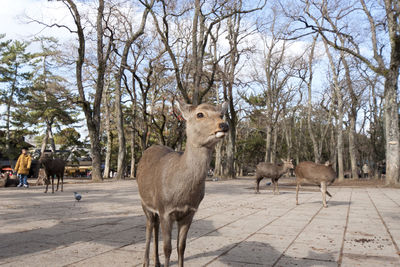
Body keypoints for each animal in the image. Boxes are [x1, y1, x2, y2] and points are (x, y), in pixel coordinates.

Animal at [136, 101, 228, 267]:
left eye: (221, 114)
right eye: (200, 114)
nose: (224, 125)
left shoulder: (189, 212)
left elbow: (181, 247)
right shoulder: (165, 209)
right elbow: (167, 248)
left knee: (155, 226)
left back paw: (156, 262)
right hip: (144, 202)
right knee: (149, 226)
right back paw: (146, 262)